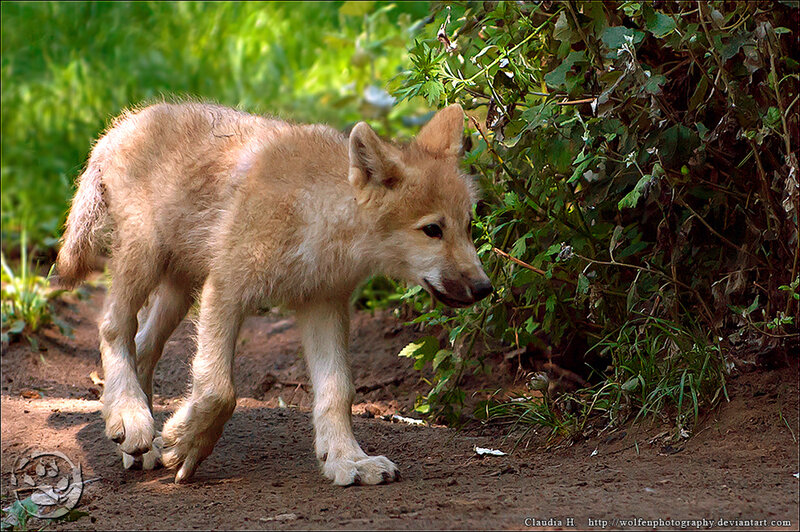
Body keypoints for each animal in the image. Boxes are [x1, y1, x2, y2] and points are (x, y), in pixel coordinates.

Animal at [56, 101, 492, 485]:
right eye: (432, 230)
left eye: (469, 225)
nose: (485, 288)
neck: (317, 213)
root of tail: (117, 128)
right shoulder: (226, 290)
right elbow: (220, 389)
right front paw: (186, 444)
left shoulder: (323, 305)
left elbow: (338, 390)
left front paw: (348, 460)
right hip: (145, 259)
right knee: (113, 327)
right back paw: (131, 418)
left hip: (179, 290)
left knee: (143, 345)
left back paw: (137, 441)